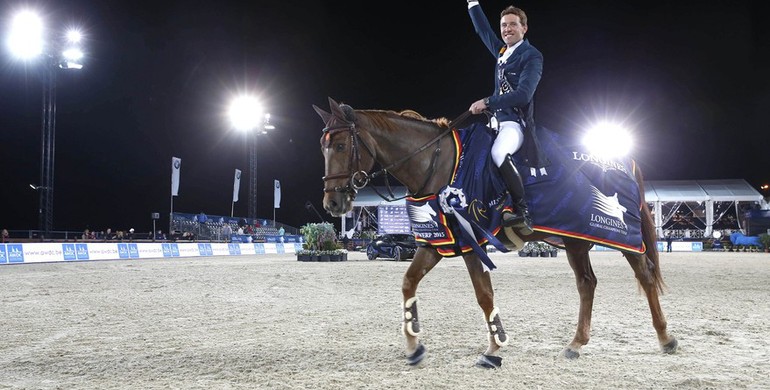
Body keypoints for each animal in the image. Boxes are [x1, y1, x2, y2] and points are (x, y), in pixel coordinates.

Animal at [310, 97, 672, 368]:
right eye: (322, 147)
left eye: (340, 145)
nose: (333, 202)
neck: (438, 162)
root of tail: (625, 162)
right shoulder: (437, 241)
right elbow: (408, 282)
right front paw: (414, 346)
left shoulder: (472, 242)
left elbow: (484, 295)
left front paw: (494, 349)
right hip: (576, 239)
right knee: (587, 283)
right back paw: (576, 344)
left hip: (621, 237)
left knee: (644, 274)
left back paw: (666, 337)